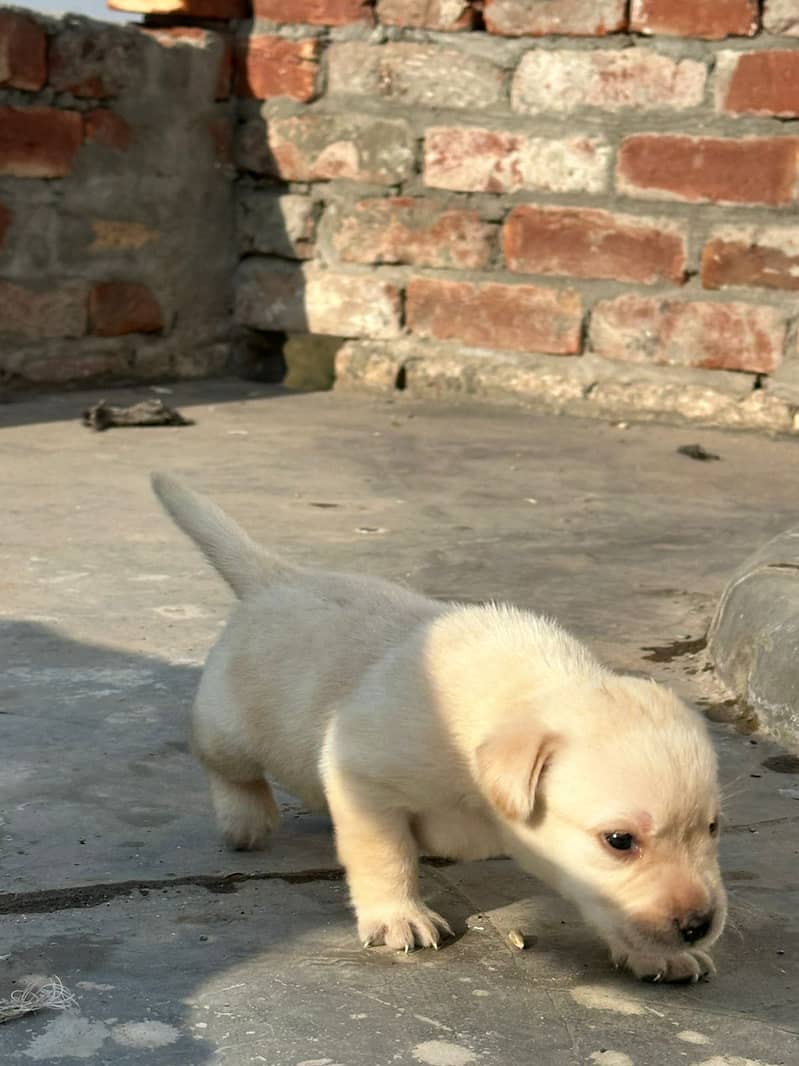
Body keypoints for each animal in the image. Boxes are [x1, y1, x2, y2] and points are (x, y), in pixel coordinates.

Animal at [153, 475, 728, 980]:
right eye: (619, 841)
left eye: (712, 827)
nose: (699, 925)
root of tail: (278, 578)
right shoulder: (363, 771)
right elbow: (383, 852)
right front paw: (397, 915)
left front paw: (658, 957)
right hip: (227, 726)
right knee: (225, 765)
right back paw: (244, 818)